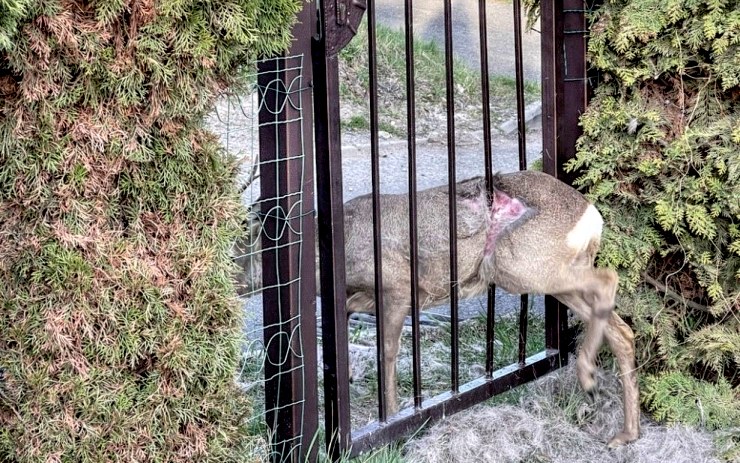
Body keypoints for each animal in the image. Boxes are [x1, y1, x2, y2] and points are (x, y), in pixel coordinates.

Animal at [234, 170, 640, 450]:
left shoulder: (397, 286)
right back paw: (625, 433)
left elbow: (388, 351)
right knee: (621, 329)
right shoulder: (367, 297)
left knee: (608, 280)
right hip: (546, 273)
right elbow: (348, 316)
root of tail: (592, 217)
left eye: (239, 244)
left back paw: (589, 379)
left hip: (527, 266)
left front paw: (392, 414)